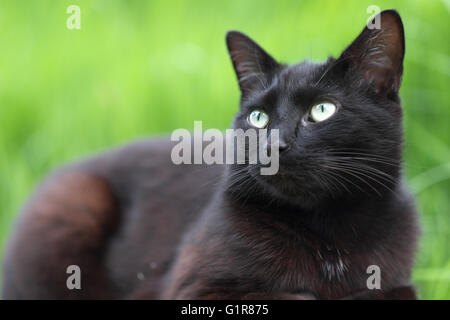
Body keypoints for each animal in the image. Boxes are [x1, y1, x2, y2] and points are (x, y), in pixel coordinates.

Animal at [1, 10, 420, 300]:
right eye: (258, 116)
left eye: (322, 110)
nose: (273, 145)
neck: (326, 231)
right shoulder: (189, 288)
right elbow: (297, 295)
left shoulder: (397, 281)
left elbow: (395, 292)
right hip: (74, 202)